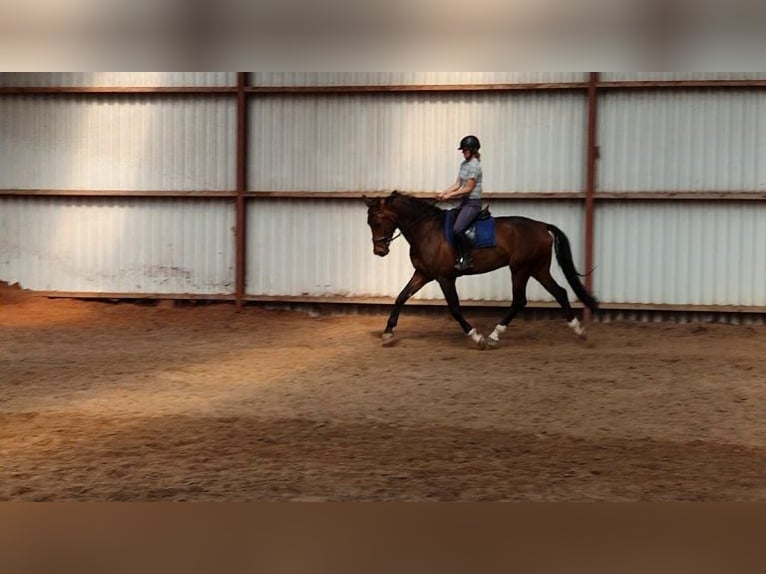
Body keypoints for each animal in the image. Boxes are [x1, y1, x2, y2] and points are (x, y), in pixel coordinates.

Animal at [364, 191, 600, 348]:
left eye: (377, 221)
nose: (379, 251)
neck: (427, 230)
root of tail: (542, 226)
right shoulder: (423, 274)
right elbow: (401, 298)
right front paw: (388, 332)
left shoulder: (445, 278)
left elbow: (455, 309)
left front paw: (476, 336)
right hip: (537, 268)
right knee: (560, 292)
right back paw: (579, 331)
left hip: (520, 269)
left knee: (520, 301)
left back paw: (494, 336)